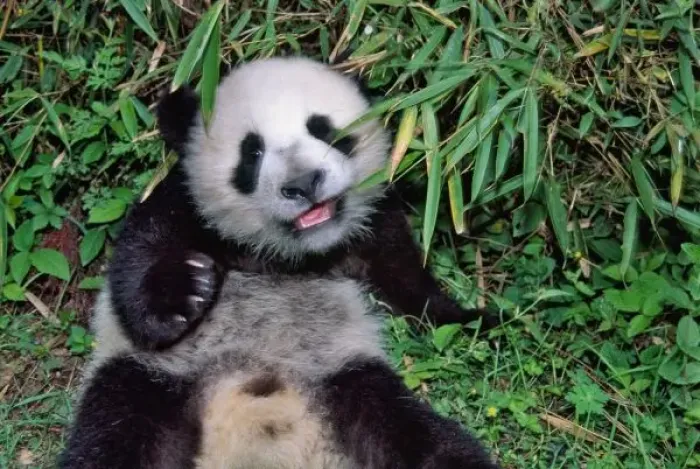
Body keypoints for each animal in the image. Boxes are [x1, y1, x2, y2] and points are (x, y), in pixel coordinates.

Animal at [59, 56, 501, 469]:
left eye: (324, 130)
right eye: (252, 152)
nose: (303, 184)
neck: (288, 253)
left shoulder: (372, 228)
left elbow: (407, 281)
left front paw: (478, 320)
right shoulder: (186, 206)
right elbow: (137, 257)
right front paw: (185, 298)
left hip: (349, 382)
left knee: (426, 440)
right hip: (150, 384)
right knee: (111, 437)